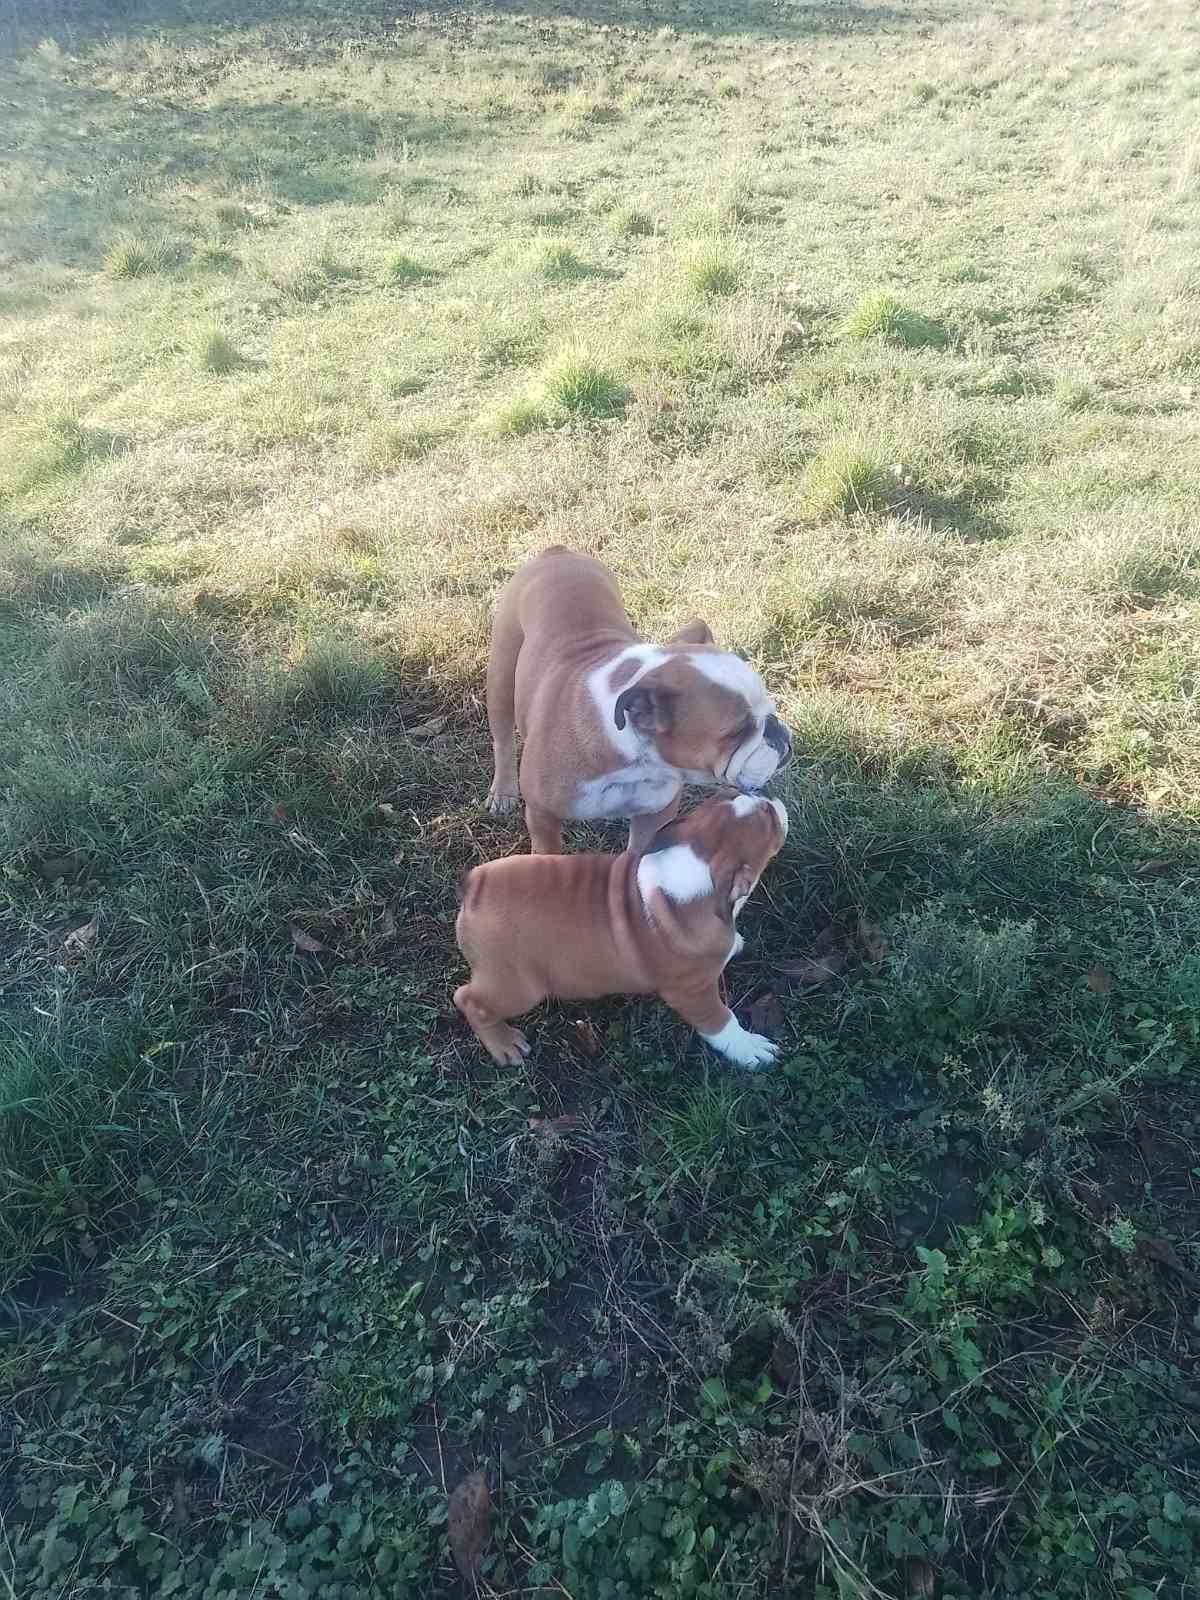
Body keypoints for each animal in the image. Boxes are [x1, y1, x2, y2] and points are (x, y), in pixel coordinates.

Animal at [451, 790, 790, 1068]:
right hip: (517, 986)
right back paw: (504, 1044)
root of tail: (474, 886)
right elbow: (720, 1021)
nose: (768, 795)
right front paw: (747, 1049)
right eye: (770, 819)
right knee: (469, 1000)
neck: (695, 866)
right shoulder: (693, 992)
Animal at [483, 547, 793, 857]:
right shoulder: (542, 814)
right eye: (736, 732)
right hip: (501, 677)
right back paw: (503, 792)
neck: (636, 761)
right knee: (503, 739)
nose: (777, 730)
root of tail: (557, 553)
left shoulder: (655, 815)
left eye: (770, 709)